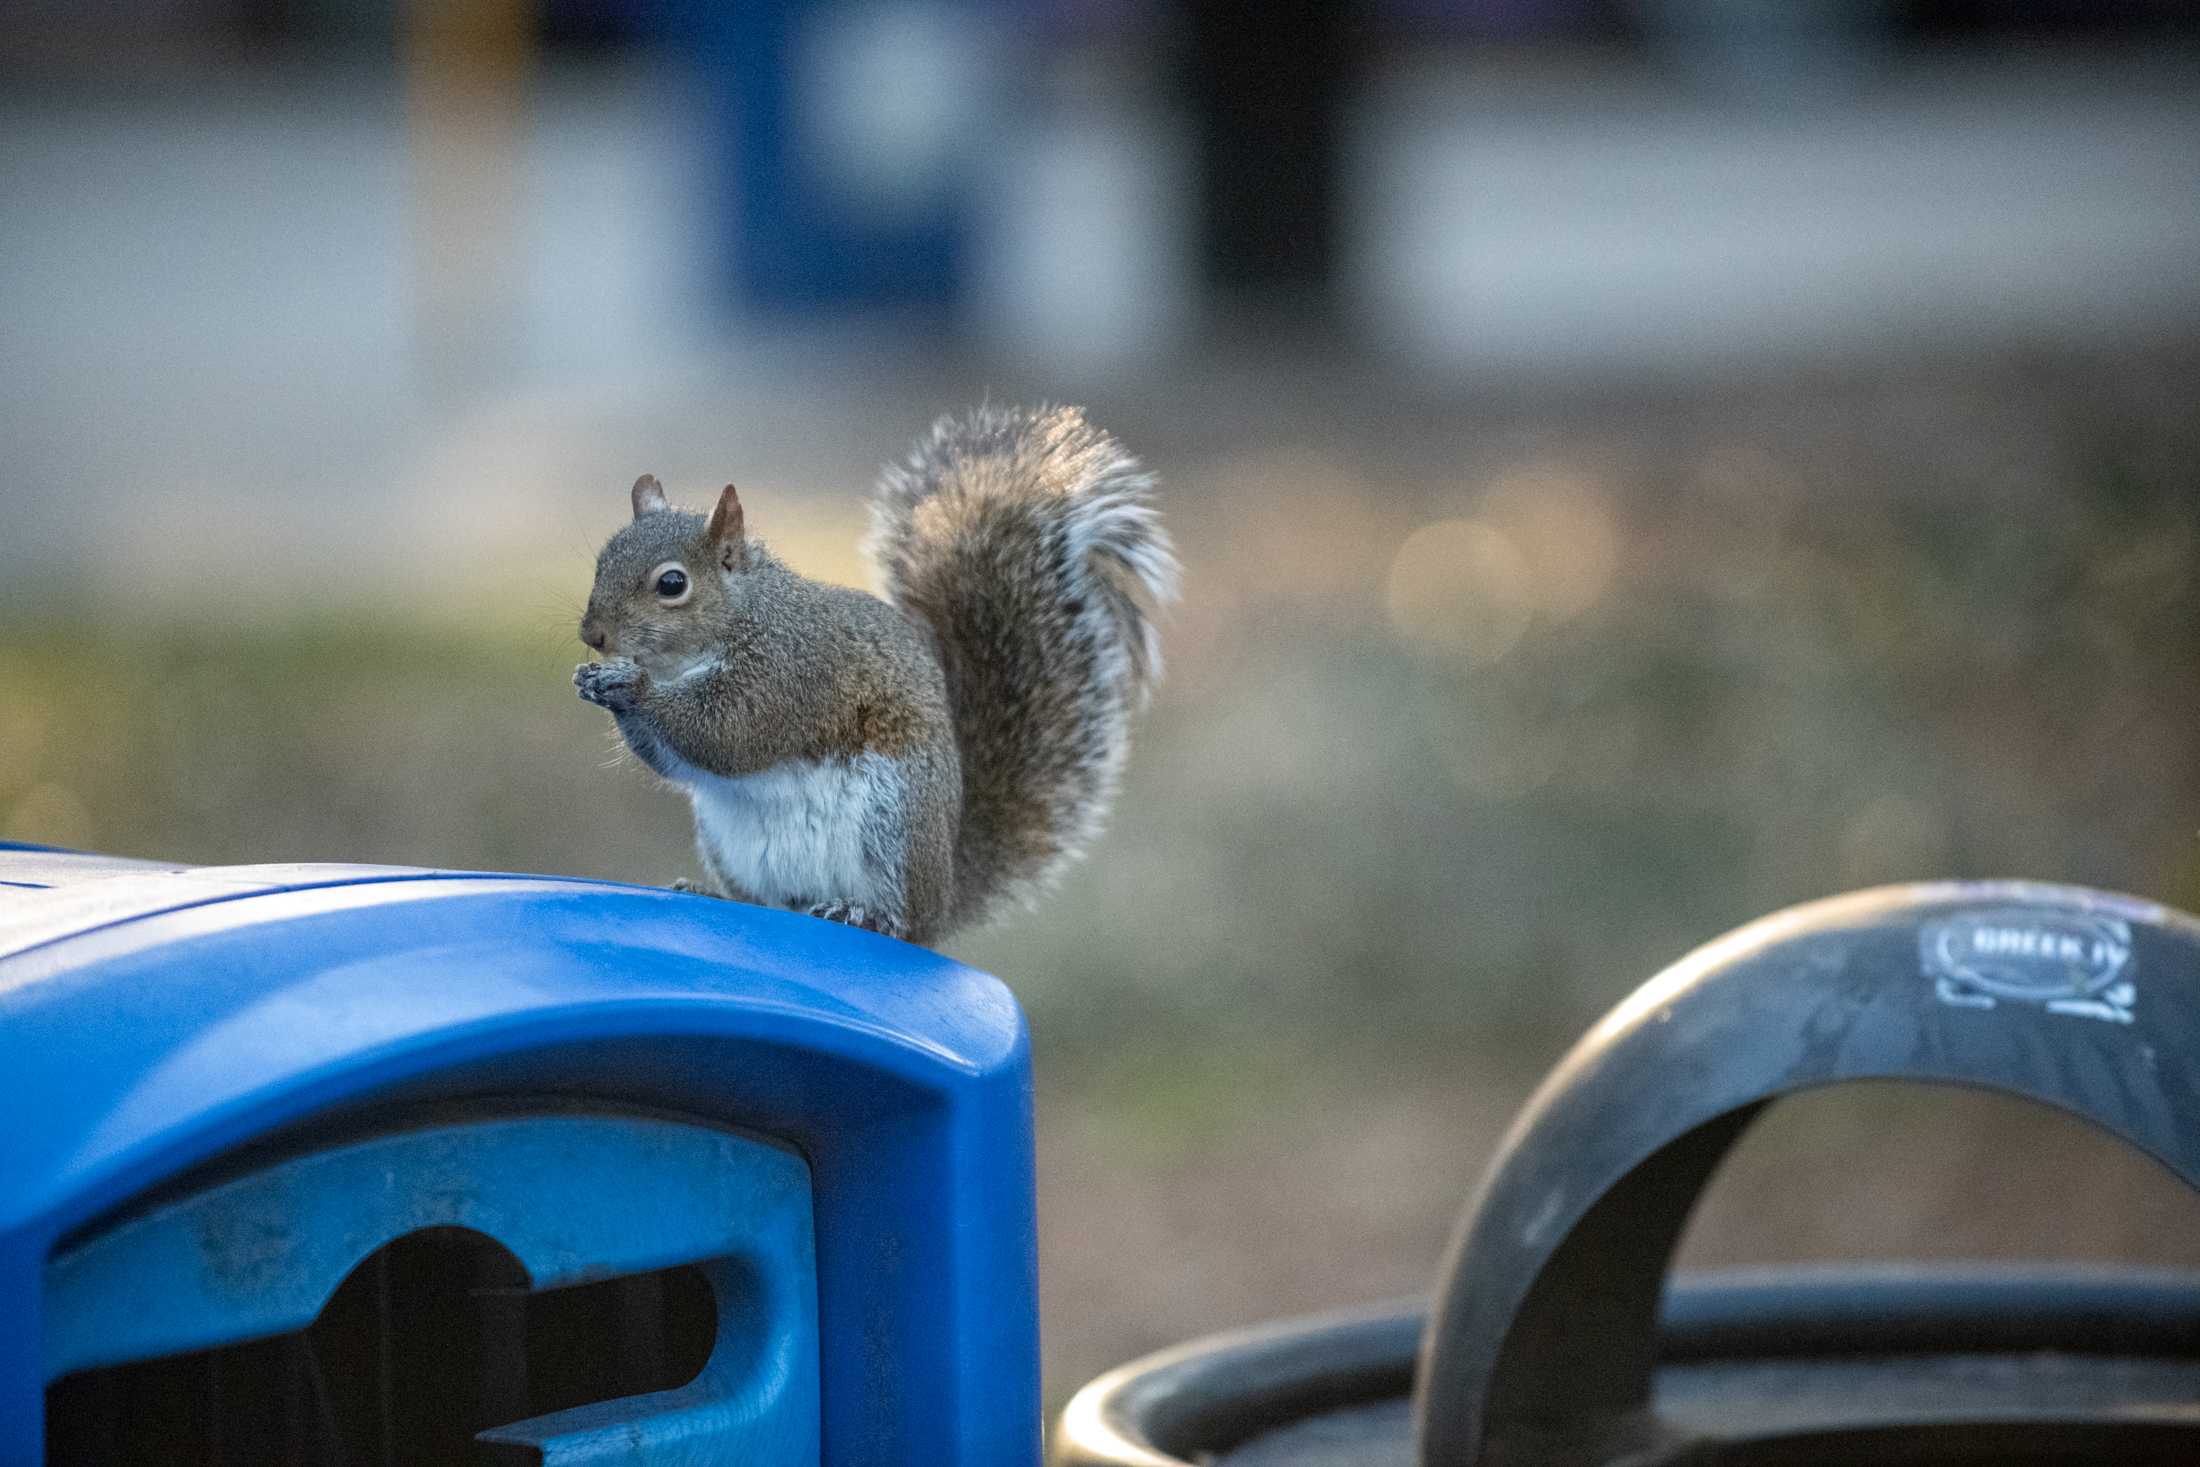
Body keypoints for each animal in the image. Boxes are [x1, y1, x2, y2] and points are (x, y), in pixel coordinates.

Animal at [576, 406, 1179, 945]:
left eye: (672, 584)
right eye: (603, 560)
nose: (593, 635)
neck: (742, 617)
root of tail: (944, 894)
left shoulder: (792, 671)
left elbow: (729, 732)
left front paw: (634, 689)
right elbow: (679, 759)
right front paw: (597, 682)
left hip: (894, 819)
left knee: (901, 920)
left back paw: (865, 916)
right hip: (732, 844)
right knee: (770, 903)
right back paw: (712, 893)